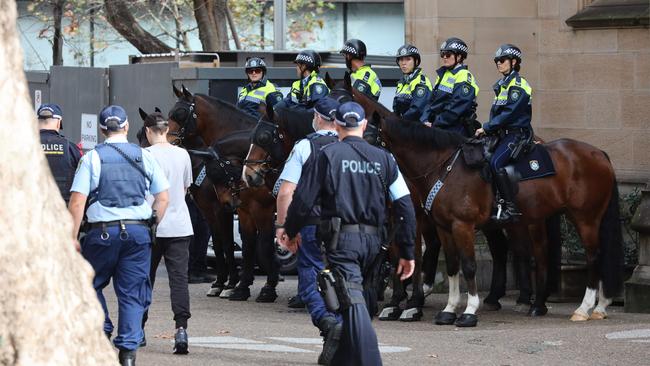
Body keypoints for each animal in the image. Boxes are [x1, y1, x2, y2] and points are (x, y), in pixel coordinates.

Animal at [166, 86, 280, 304]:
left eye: (180, 114)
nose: (166, 142)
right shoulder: (225, 209)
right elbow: (227, 244)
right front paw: (229, 284)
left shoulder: (253, 208)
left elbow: (257, 245)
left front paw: (264, 286)